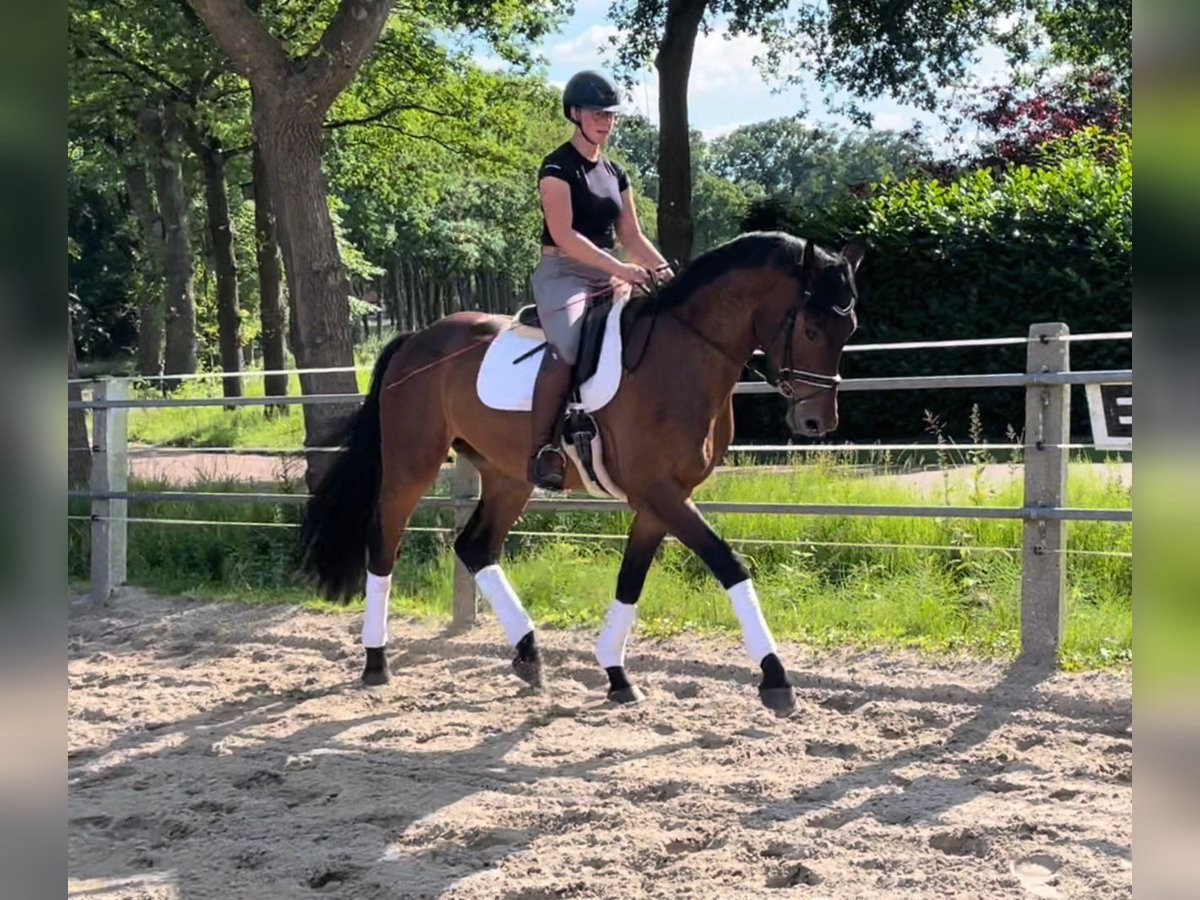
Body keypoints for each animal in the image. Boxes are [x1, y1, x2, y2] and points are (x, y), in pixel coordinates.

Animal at [300, 232, 864, 720]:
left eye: (849, 331)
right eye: (811, 329)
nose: (818, 422)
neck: (684, 354)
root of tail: (418, 338)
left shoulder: (661, 499)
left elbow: (631, 580)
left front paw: (617, 675)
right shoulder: (659, 492)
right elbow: (729, 563)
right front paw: (776, 678)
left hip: (508, 476)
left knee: (475, 547)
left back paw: (529, 657)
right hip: (411, 464)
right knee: (383, 545)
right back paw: (376, 662)